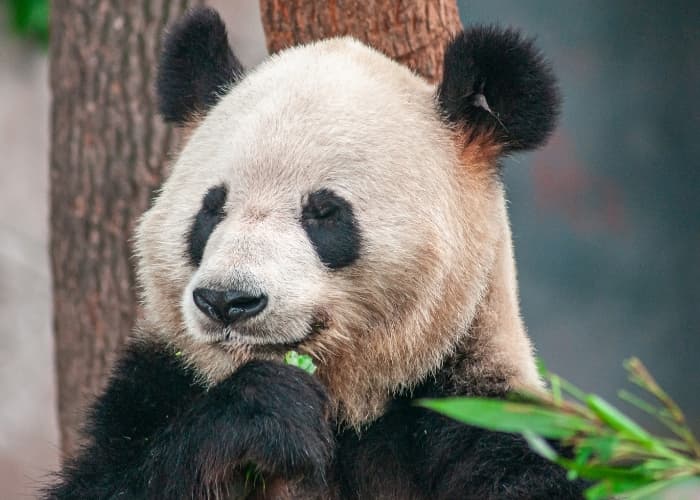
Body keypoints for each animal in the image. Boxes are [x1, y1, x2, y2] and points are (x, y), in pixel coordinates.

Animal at [46, 7, 584, 500]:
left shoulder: (479, 412)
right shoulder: (154, 389)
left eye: (324, 212)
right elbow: (111, 480)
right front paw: (265, 413)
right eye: (211, 209)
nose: (227, 301)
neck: (349, 406)